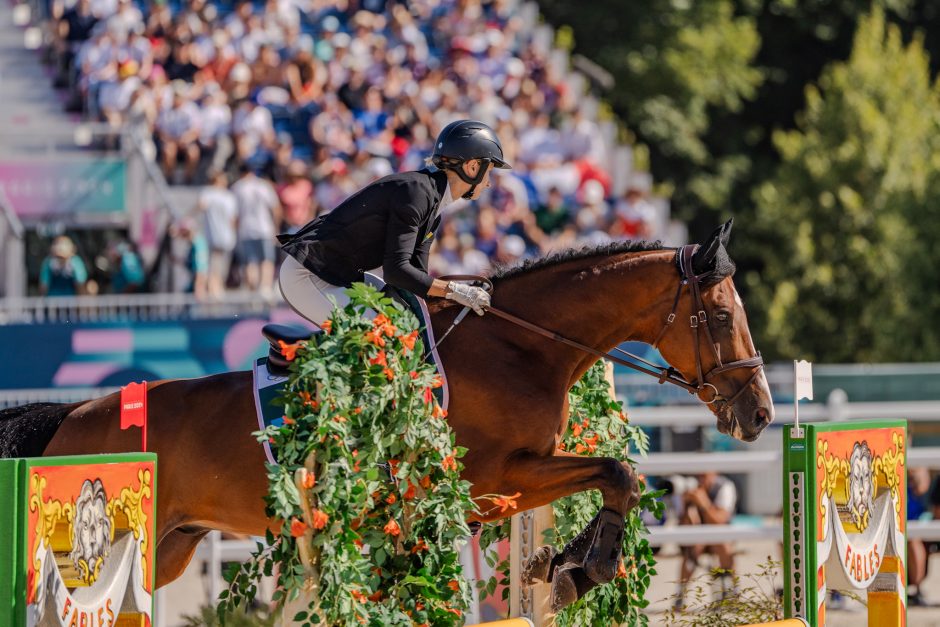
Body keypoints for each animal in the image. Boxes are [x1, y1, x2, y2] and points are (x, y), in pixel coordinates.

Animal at [0, 220, 772, 608]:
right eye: (722, 316)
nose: (760, 414)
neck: (522, 346)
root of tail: (71, 417)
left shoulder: (508, 485)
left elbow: (617, 475)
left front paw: (563, 562)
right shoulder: (496, 477)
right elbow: (617, 472)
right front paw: (584, 567)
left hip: (167, 548)